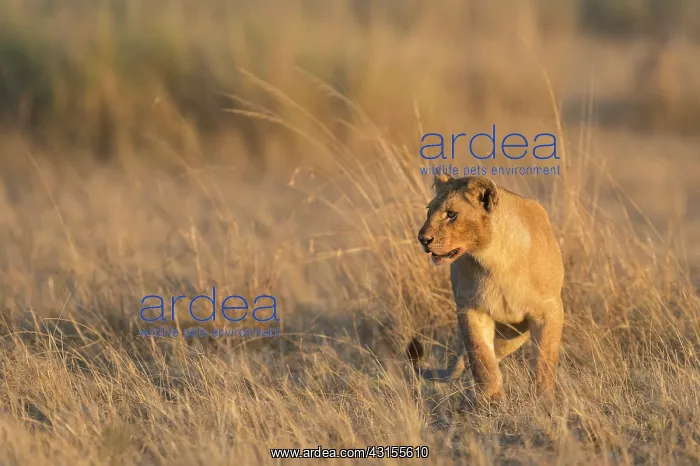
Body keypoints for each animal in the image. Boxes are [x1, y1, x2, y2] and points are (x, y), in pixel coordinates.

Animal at [406, 174, 564, 404]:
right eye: (429, 210)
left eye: (451, 214)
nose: (423, 239)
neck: (495, 258)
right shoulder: (471, 310)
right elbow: (482, 360)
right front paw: (493, 401)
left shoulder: (549, 310)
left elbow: (545, 359)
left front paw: (544, 400)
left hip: (512, 334)